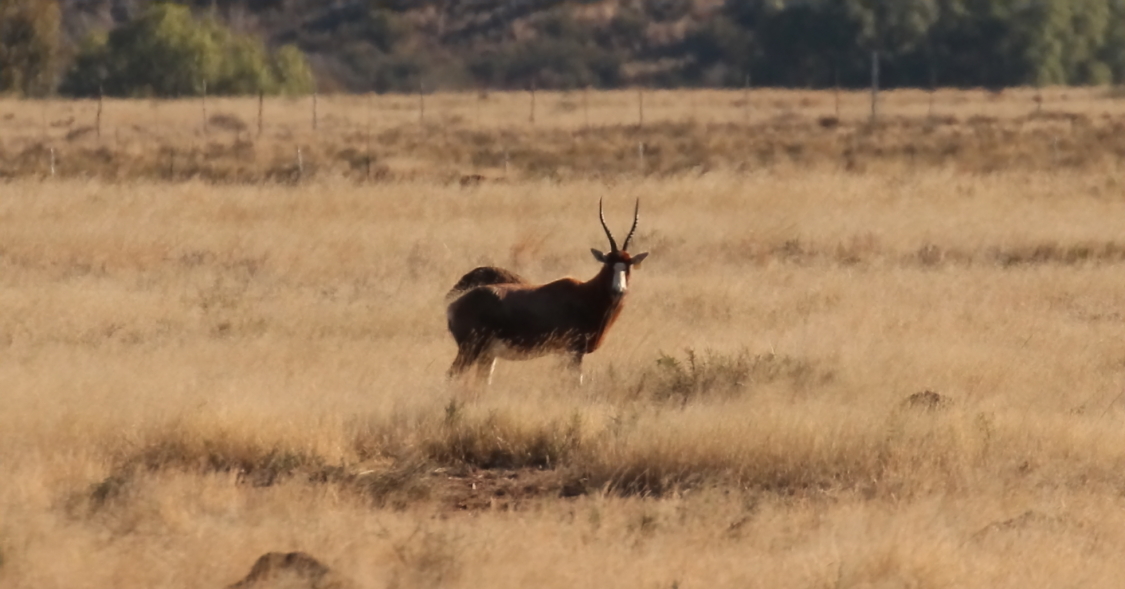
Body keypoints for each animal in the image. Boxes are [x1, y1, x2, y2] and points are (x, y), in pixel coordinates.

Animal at [441, 200, 648, 384]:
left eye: (628, 265)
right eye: (608, 264)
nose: (618, 290)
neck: (585, 294)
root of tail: (453, 306)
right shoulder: (572, 352)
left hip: (487, 355)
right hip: (470, 350)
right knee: (451, 375)